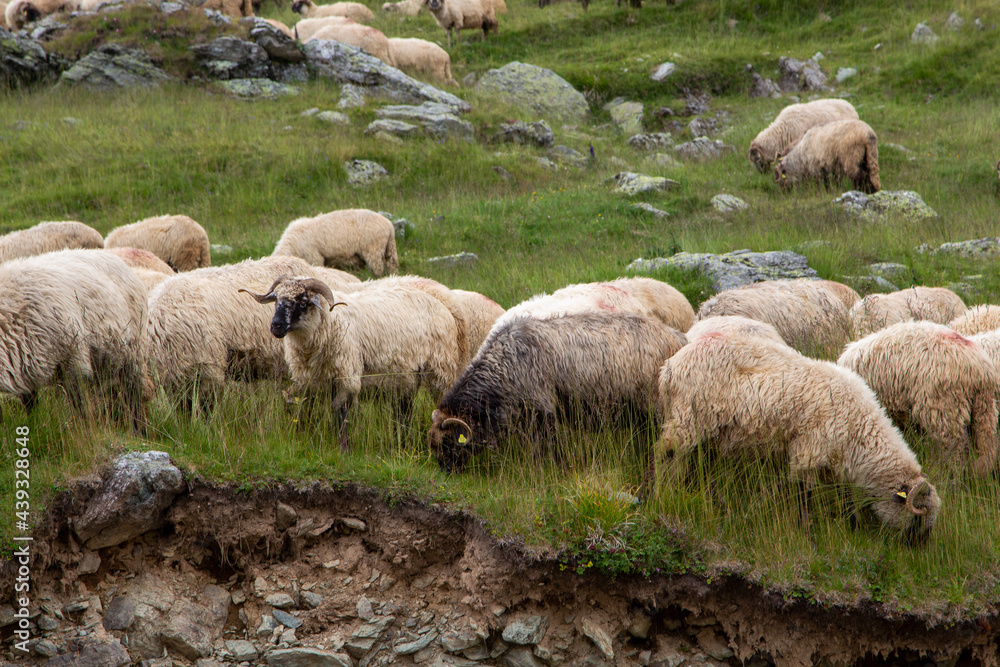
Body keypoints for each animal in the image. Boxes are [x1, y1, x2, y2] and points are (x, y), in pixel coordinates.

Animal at [0, 250, 151, 428]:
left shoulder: (74, 358)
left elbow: (80, 404)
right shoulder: (25, 362)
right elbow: (31, 404)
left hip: (133, 354)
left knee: (135, 396)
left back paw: (139, 429)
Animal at [241, 276, 464, 450]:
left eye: (302, 301)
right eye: (276, 299)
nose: (276, 326)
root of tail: (440, 305)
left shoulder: (346, 374)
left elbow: (341, 412)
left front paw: (344, 447)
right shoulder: (308, 378)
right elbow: (305, 407)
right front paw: (302, 437)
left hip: (440, 369)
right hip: (406, 376)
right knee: (404, 409)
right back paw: (401, 441)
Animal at [427, 313, 687, 473]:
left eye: (449, 443)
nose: (446, 472)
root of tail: (679, 336)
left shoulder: (542, 410)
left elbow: (547, 447)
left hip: (655, 405)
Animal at [651, 329, 940, 542]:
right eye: (918, 517)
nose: (916, 548)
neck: (859, 429)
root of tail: (669, 367)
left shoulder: (835, 460)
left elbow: (845, 495)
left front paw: (853, 525)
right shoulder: (808, 450)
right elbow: (805, 494)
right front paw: (807, 530)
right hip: (688, 418)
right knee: (666, 453)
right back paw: (664, 492)